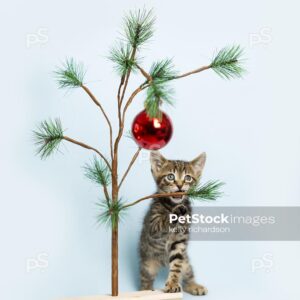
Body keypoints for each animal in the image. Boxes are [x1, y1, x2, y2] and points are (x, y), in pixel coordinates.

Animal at [139, 150, 207, 296]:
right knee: (145, 279)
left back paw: (194, 286)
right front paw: (176, 212)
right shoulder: (153, 227)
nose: (180, 185)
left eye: (188, 178)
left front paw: (172, 284)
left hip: (186, 262)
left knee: (188, 273)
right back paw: (145, 291)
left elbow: (176, 265)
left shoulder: (180, 240)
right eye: (170, 176)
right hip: (148, 263)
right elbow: (163, 221)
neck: (172, 204)